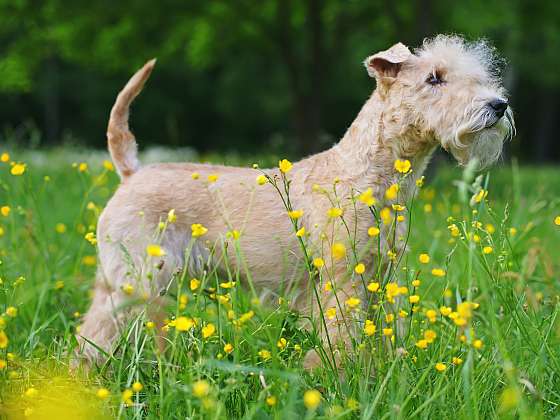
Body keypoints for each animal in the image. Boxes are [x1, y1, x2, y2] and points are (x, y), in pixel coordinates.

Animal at [75, 35, 516, 368]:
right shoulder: (342, 280)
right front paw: (336, 379)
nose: (498, 105)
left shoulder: (379, 276)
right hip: (133, 277)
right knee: (91, 333)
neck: (367, 173)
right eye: (434, 78)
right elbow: (341, 337)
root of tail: (131, 171)